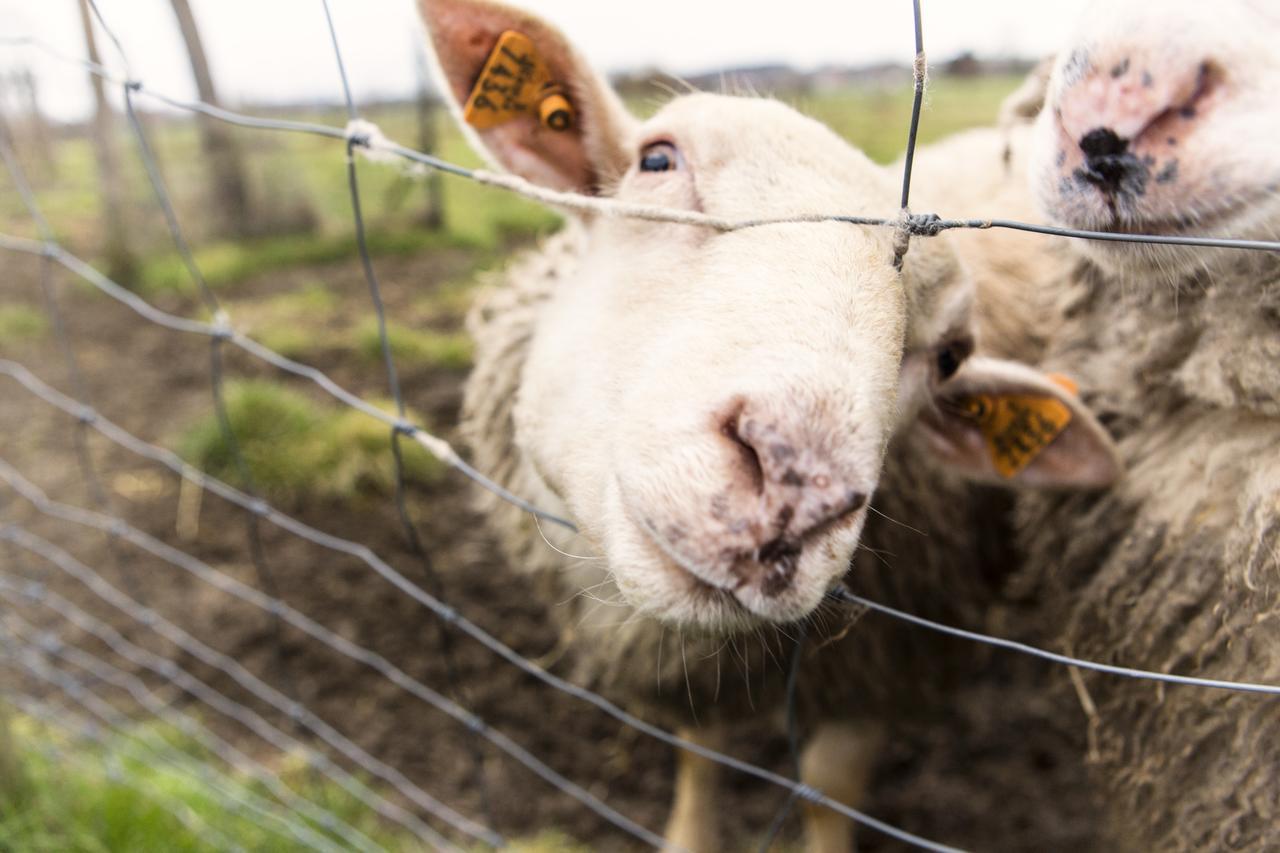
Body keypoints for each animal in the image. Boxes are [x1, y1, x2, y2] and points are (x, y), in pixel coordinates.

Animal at [417, 0, 1121, 845]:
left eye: (950, 355)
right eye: (657, 159)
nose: (793, 487)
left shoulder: (884, 661)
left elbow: (825, 785)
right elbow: (700, 749)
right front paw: (687, 832)